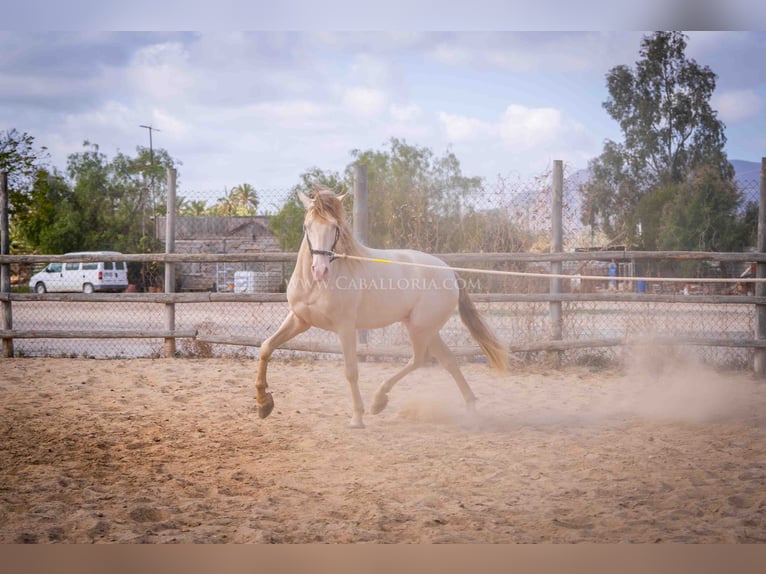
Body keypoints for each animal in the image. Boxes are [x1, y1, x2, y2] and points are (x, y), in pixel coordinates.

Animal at [256, 187, 510, 430]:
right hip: (426, 328)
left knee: (420, 359)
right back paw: (471, 411)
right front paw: (263, 404)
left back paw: (379, 400)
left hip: (419, 328)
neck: (315, 285)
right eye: (306, 226)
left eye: (335, 227)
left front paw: (357, 418)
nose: (320, 270)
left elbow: (351, 371)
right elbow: (266, 347)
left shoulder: (345, 327)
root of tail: (448, 271)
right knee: (448, 360)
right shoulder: (300, 320)